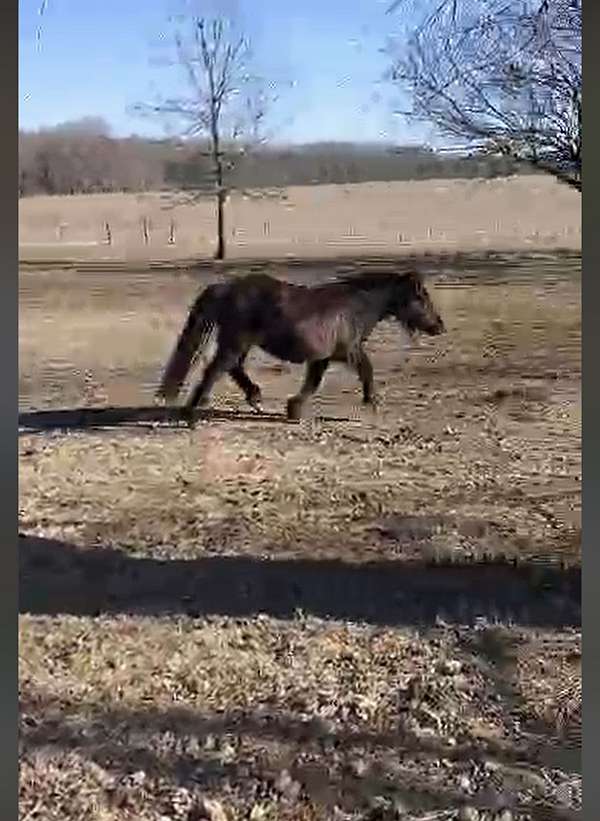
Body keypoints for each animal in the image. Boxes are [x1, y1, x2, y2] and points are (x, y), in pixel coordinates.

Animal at [157, 270, 442, 420]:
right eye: (421, 297)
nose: (439, 326)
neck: (357, 306)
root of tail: (226, 287)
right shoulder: (349, 350)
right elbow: (367, 370)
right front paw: (372, 403)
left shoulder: (323, 357)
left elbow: (312, 383)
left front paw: (294, 409)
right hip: (235, 341)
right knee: (216, 369)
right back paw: (194, 409)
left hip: (239, 343)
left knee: (232, 368)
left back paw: (254, 398)